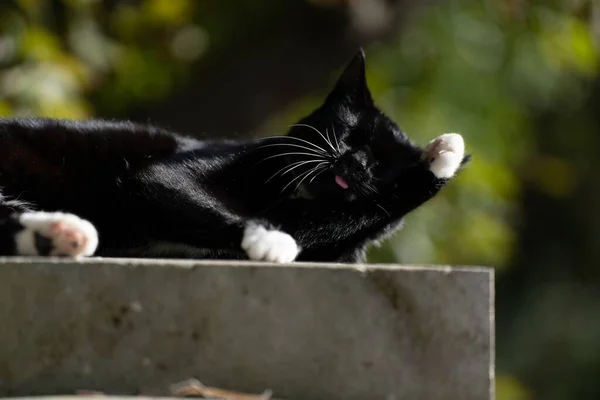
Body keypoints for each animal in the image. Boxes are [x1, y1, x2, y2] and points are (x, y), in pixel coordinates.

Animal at [0, 50, 472, 262]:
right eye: (349, 132)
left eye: (381, 167)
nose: (353, 163)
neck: (292, 200)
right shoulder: (164, 177)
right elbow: (191, 197)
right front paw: (267, 237)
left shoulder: (335, 247)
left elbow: (361, 216)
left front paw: (441, 157)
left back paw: (61, 234)